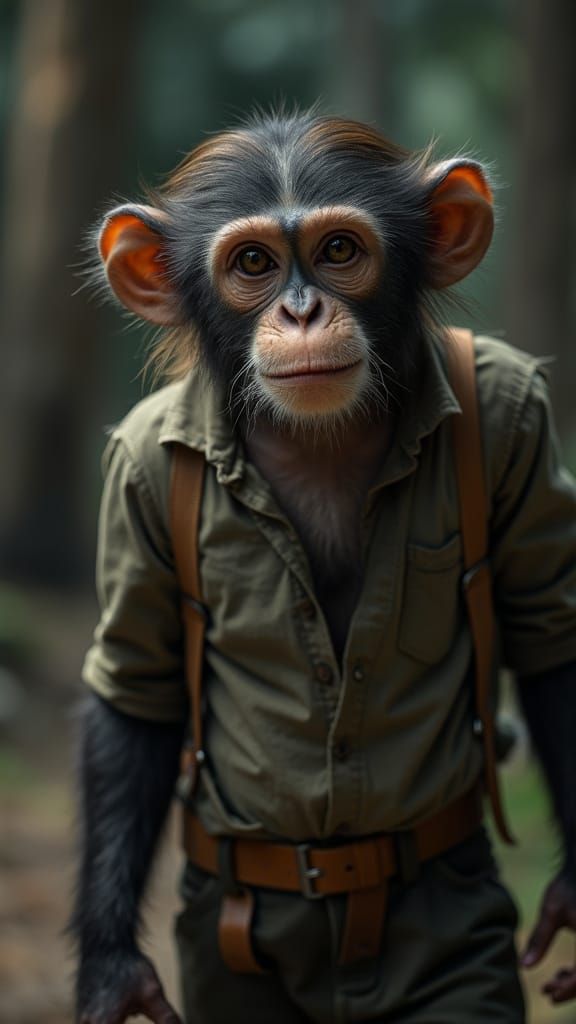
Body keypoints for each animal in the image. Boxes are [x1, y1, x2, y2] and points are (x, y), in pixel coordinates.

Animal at [72, 109, 576, 1023]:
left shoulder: (519, 408)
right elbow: (138, 684)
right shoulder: (134, 467)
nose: (302, 310)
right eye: (253, 264)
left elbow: (549, 632)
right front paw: (112, 974)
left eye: (340, 250)